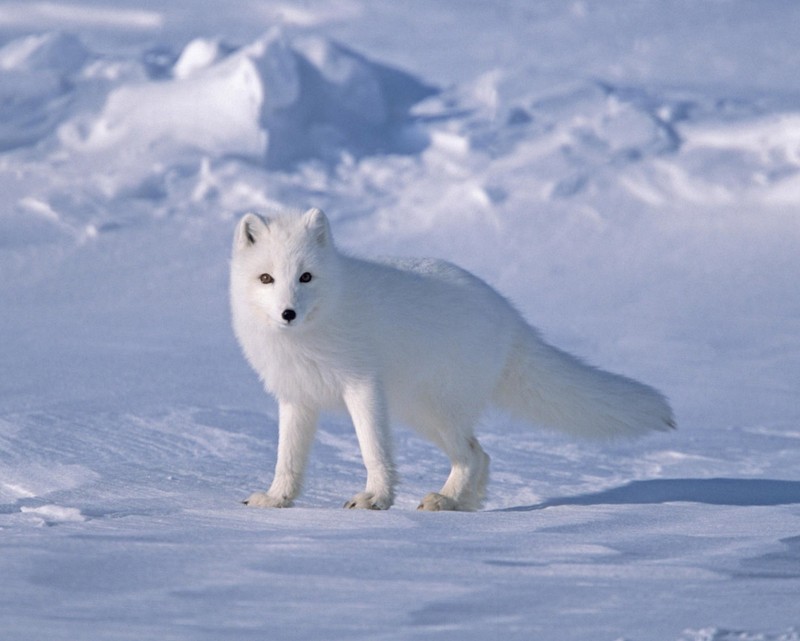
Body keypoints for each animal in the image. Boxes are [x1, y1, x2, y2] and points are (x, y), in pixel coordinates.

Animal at [231, 209, 676, 510]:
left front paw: (375, 499)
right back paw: (461, 504)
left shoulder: (362, 386)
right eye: (267, 278)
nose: (288, 313)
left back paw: (445, 501)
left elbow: (374, 450)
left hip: (435, 410)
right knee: (481, 454)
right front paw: (276, 499)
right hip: (421, 413)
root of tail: (511, 317)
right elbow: (287, 458)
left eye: (306, 276)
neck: (311, 333)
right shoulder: (296, 397)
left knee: (473, 454)